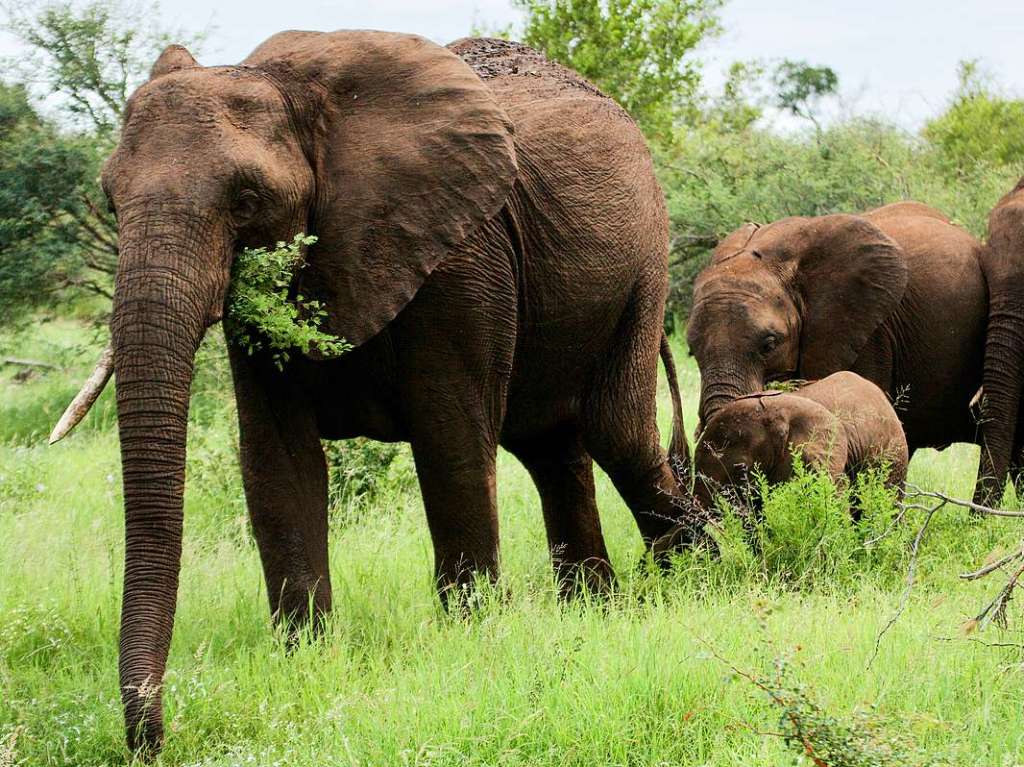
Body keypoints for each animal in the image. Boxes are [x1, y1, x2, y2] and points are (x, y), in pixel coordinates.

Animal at [58, 34, 696, 753]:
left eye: (247, 200)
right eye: (111, 200)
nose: (150, 740)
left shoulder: (459, 257)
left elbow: (450, 446)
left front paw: (471, 645)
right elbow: (278, 464)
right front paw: (306, 662)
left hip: (644, 264)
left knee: (619, 435)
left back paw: (700, 578)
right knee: (550, 450)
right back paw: (594, 608)